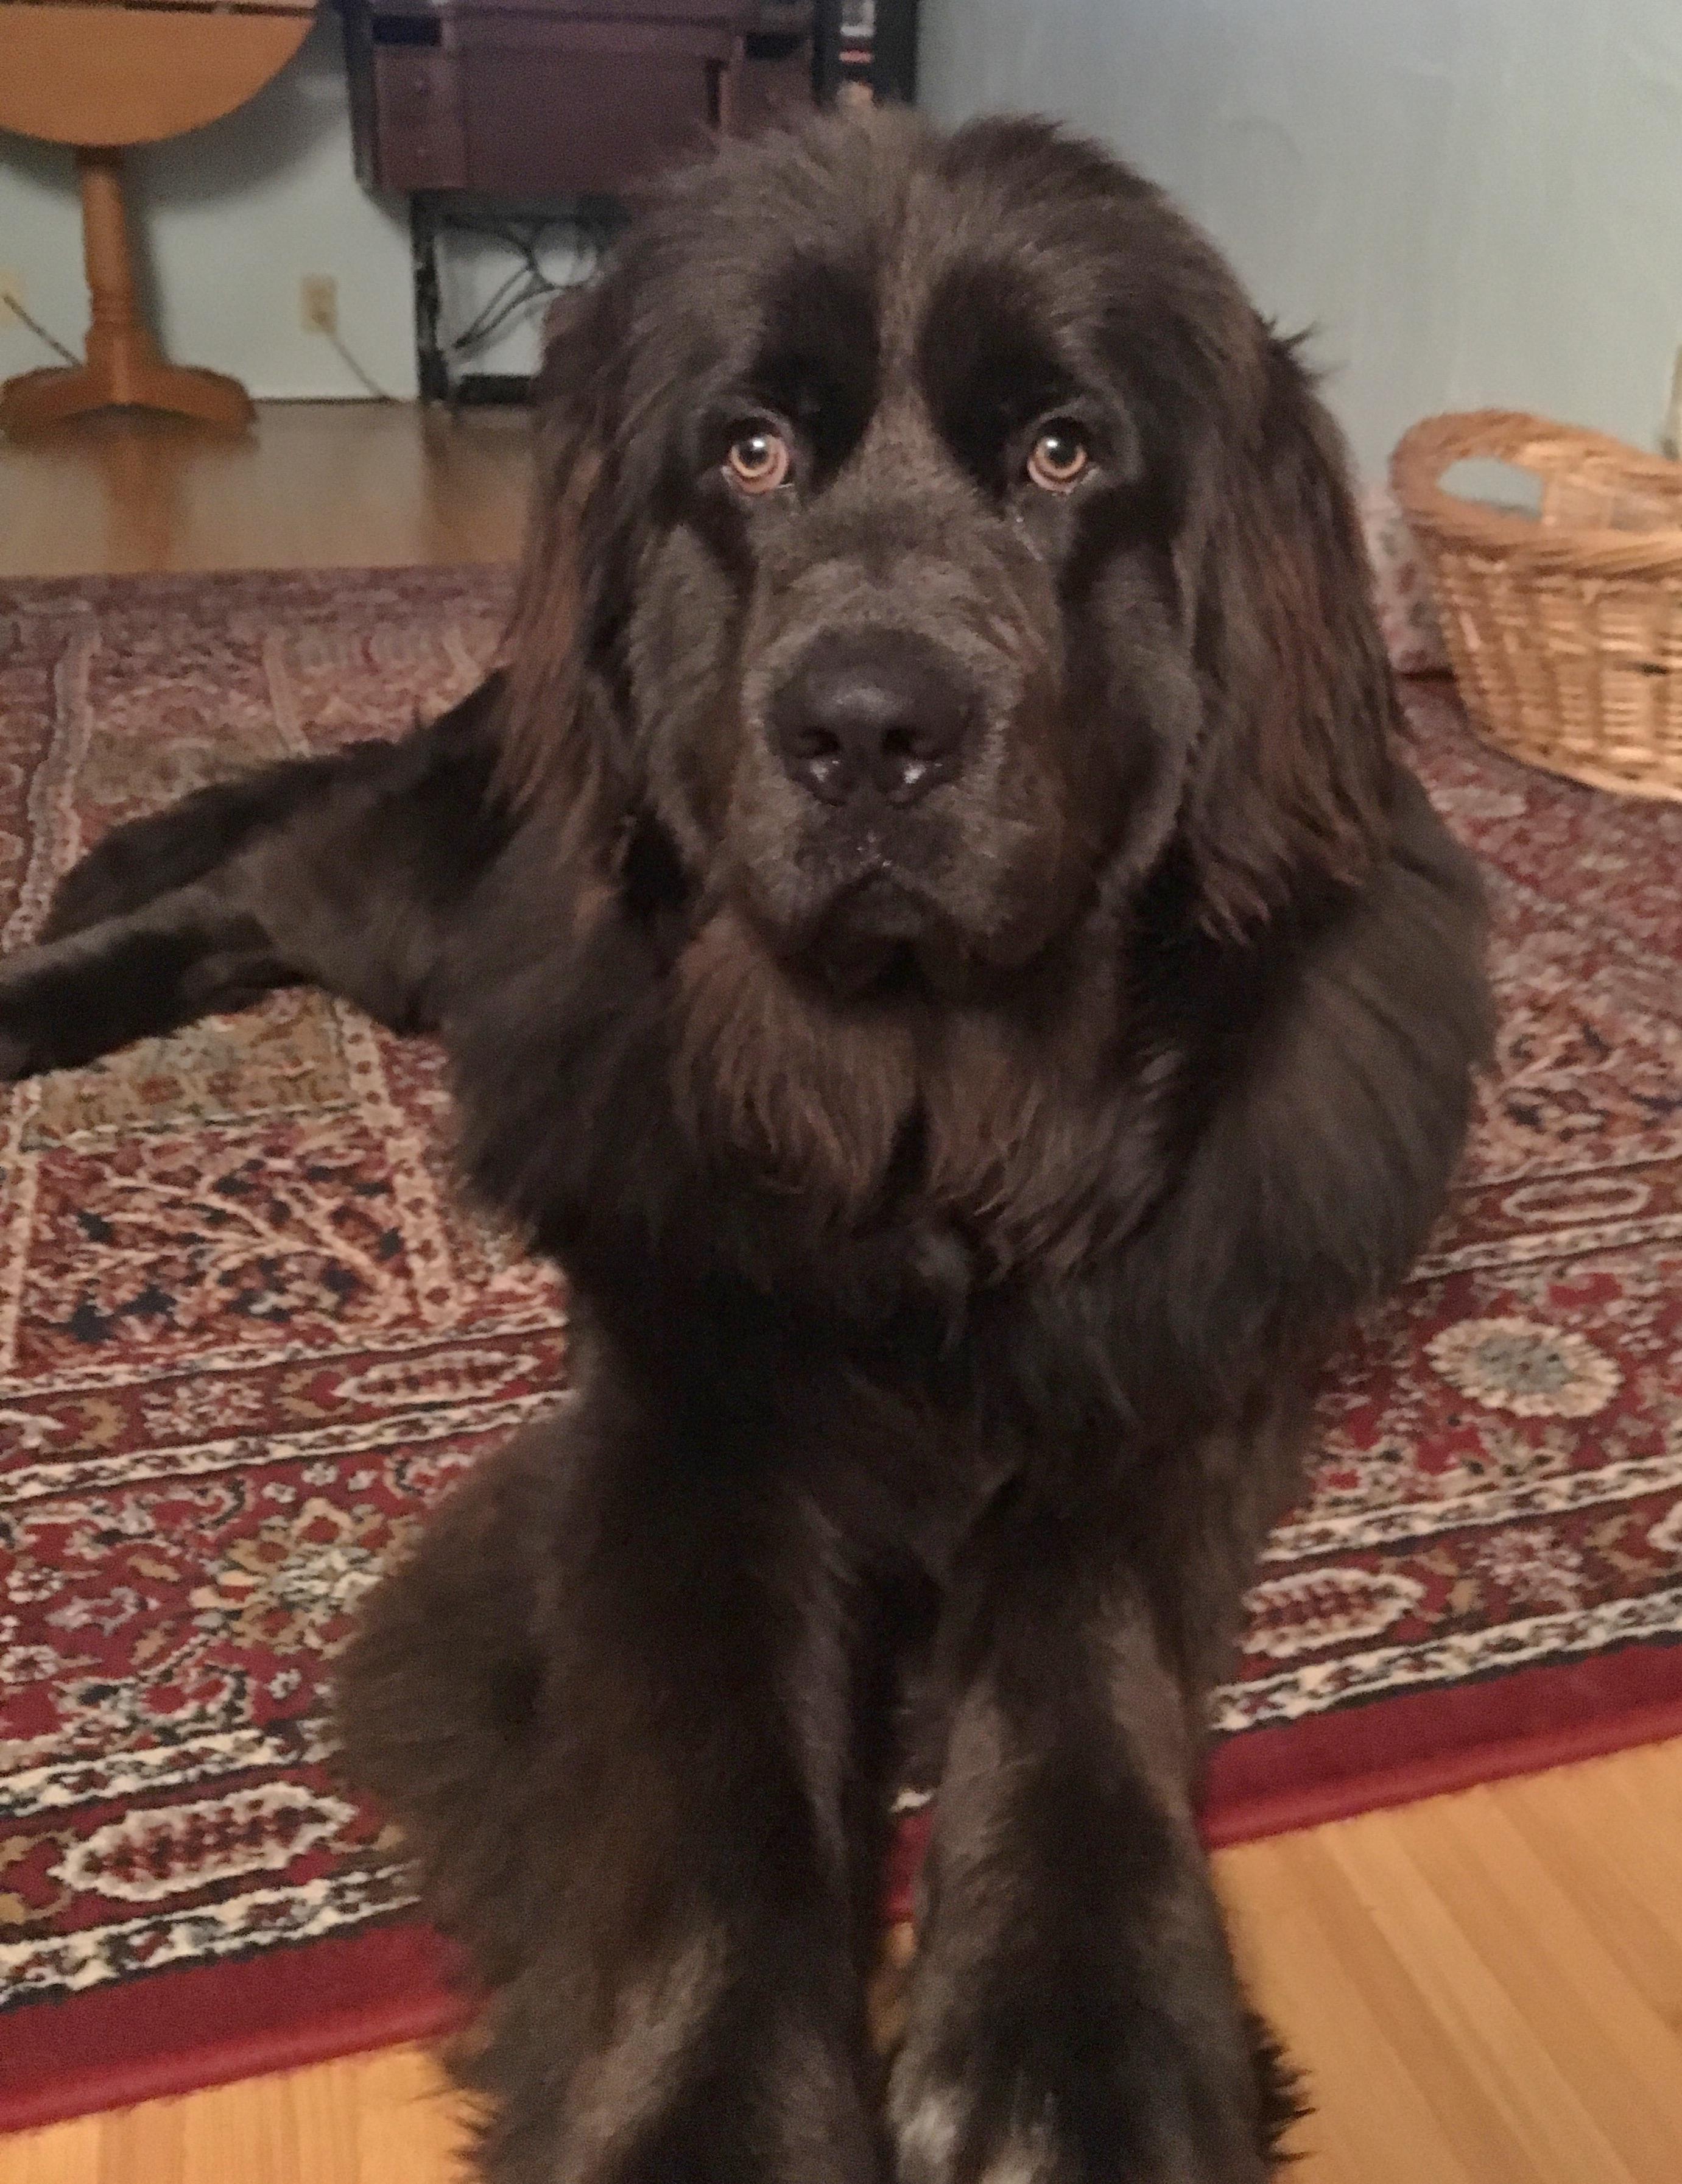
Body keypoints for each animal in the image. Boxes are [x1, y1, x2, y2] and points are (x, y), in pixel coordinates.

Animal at [10, 115, 1485, 2184]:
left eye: (1061, 452)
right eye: (752, 453)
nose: (869, 723)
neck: (929, 1091)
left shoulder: (1167, 1352)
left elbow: (1076, 1640)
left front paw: (1079, 2037)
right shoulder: (692, 1387)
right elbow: (712, 1771)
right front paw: (714, 2116)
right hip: (438, 894)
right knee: (249, 886)